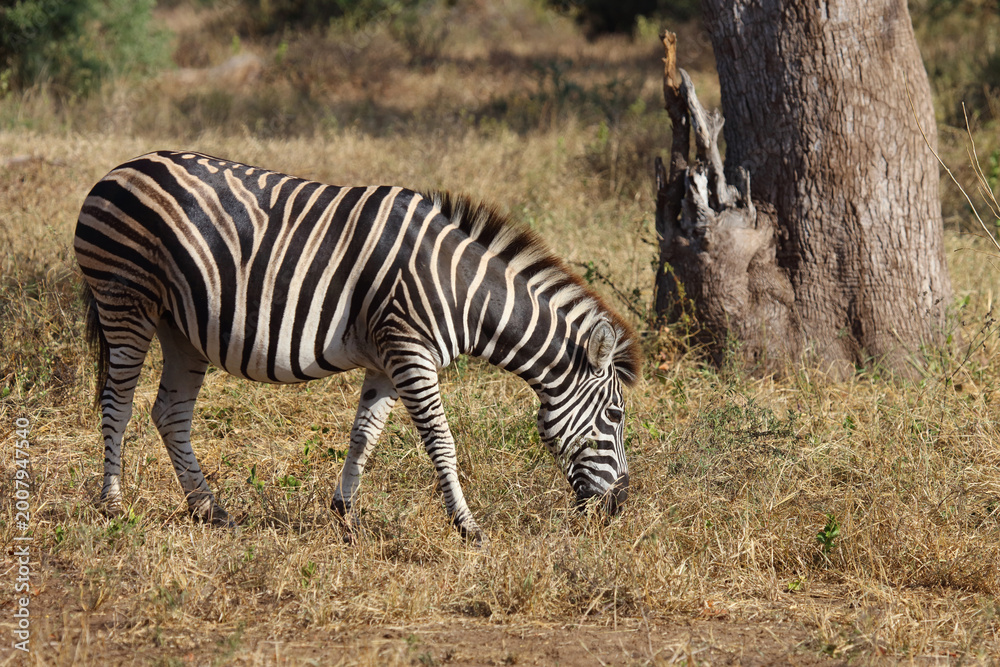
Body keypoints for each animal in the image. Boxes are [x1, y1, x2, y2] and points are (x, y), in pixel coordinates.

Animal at [75, 150, 641, 542]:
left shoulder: (387, 361)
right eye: (615, 416)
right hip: (125, 300)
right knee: (117, 403)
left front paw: (346, 516)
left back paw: (209, 510)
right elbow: (442, 442)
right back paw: (113, 506)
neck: (462, 290)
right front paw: (468, 527)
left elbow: (364, 436)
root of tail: (117, 170)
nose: (619, 507)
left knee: (169, 413)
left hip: (181, 327)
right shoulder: (411, 351)